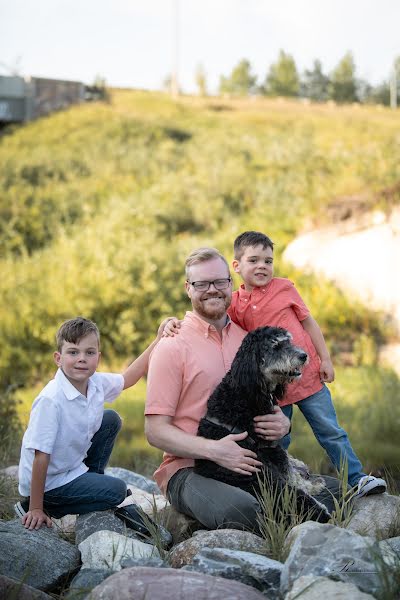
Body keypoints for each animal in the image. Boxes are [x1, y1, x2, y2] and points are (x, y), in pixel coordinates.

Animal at [196, 326, 332, 524]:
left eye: (288, 341)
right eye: (275, 346)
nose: (303, 355)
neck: (244, 394)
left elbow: (289, 467)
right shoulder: (270, 447)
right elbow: (290, 474)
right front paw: (311, 485)